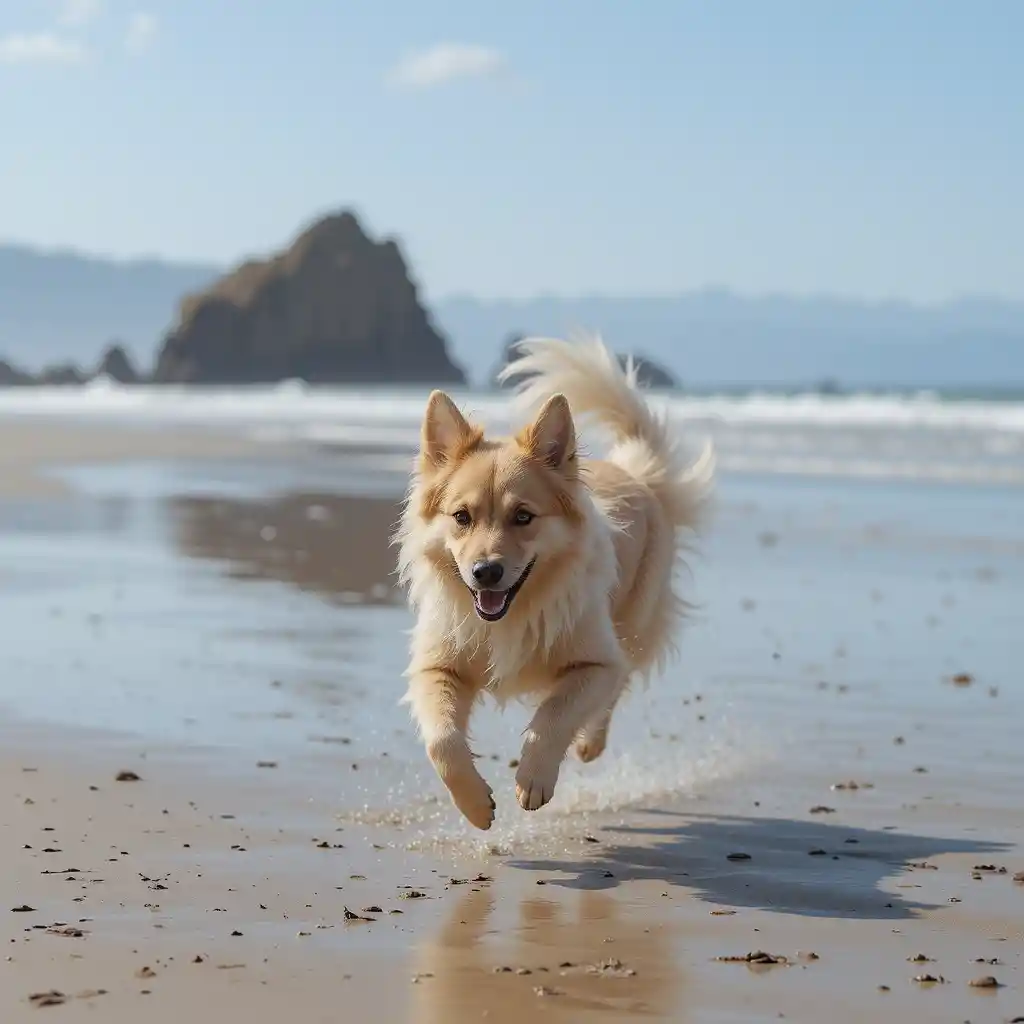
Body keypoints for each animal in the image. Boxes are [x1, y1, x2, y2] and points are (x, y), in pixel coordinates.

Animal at [391, 335, 712, 831]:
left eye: (523, 517)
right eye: (461, 517)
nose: (486, 572)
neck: (511, 614)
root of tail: (636, 474)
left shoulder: (594, 663)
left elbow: (554, 716)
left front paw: (534, 779)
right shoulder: (436, 666)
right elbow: (441, 740)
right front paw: (475, 804)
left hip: (633, 623)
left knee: (618, 681)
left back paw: (589, 742)